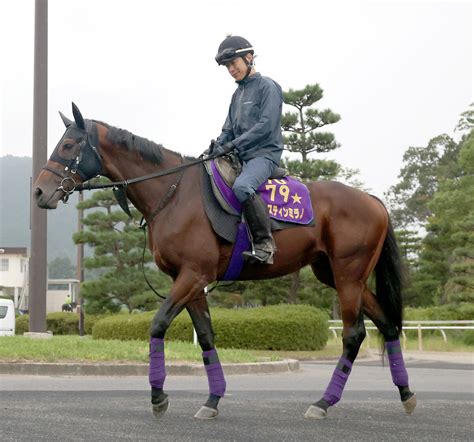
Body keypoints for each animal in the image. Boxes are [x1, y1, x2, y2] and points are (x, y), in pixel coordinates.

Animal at [34, 104, 414, 422]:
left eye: (68, 145)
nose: (39, 192)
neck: (173, 193)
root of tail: (372, 200)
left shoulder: (192, 275)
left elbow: (158, 325)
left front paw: (158, 396)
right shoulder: (190, 280)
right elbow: (205, 336)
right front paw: (212, 399)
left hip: (348, 275)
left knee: (354, 334)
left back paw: (324, 402)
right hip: (339, 275)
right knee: (387, 325)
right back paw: (406, 394)